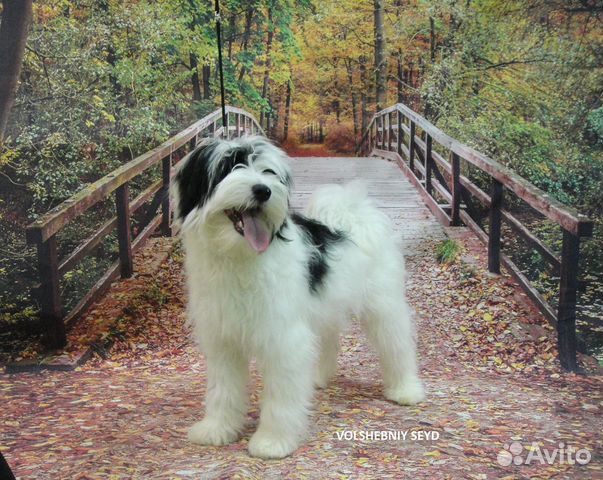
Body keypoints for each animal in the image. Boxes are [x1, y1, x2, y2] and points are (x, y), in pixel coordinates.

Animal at [170, 135, 424, 458]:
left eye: (268, 172)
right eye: (227, 166)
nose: (263, 190)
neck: (241, 256)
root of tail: (353, 213)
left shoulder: (283, 338)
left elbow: (280, 394)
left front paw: (272, 441)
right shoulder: (223, 338)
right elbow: (222, 389)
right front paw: (217, 428)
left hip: (383, 305)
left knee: (396, 343)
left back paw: (405, 389)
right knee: (327, 339)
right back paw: (316, 377)